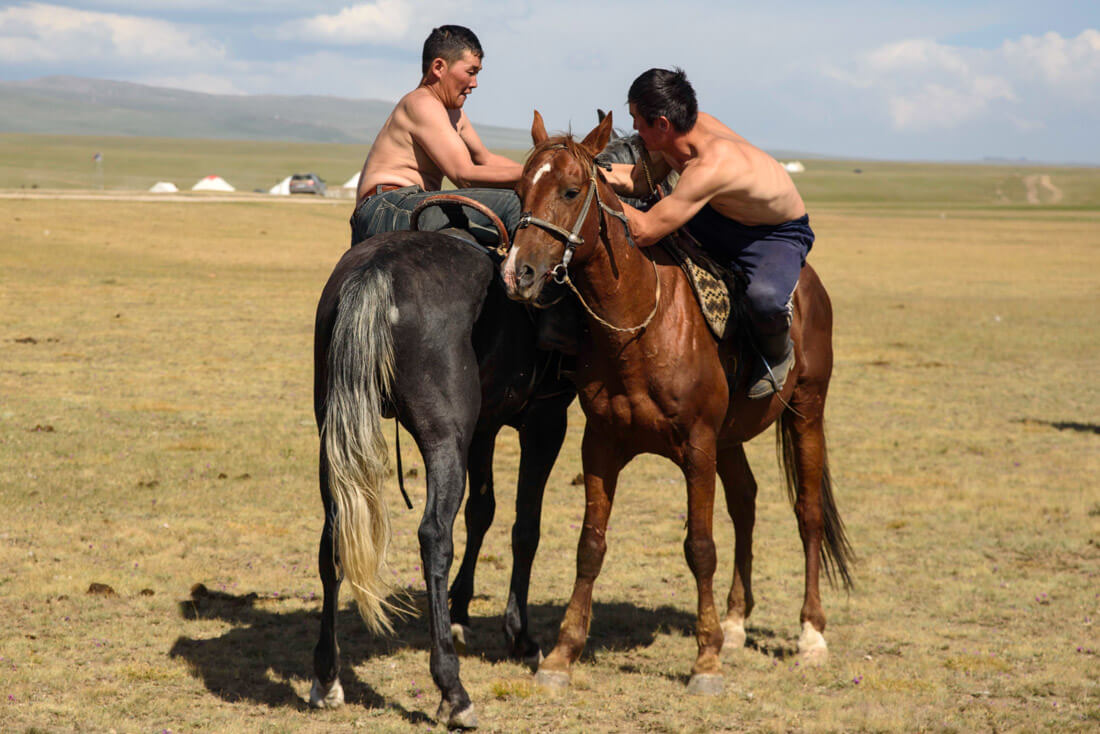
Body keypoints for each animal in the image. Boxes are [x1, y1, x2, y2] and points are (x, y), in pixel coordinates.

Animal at [503, 113, 853, 695]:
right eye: (518, 189)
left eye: (571, 190)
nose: (517, 274)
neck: (639, 324)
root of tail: (811, 285)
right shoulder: (600, 445)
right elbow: (590, 546)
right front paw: (561, 655)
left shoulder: (697, 446)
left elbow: (700, 548)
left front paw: (705, 661)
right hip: (731, 438)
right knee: (746, 503)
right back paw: (735, 623)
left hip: (808, 410)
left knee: (807, 513)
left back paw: (811, 635)